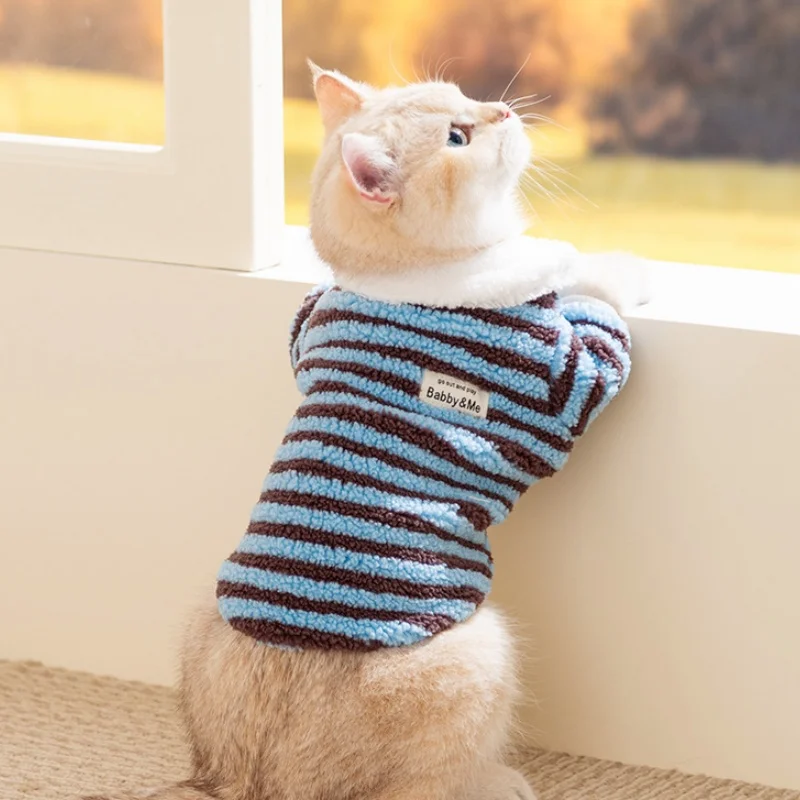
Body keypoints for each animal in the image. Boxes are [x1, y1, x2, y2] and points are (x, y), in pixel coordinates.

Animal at [82, 62, 642, 800]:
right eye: (458, 136)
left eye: (464, 96)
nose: (502, 110)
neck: (395, 282)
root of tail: (242, 781)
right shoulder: (560, 383)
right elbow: (596, 316)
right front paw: (612, 269)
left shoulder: (308, 324)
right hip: (481, 650)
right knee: (429, 784)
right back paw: (498, 779)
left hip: (203, 615)